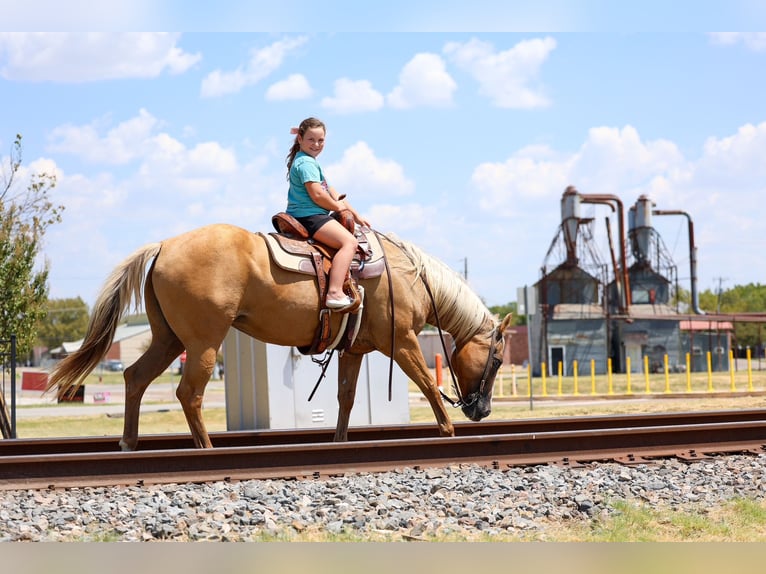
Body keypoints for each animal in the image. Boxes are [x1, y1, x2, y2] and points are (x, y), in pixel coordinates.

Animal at [47, 223, 512, 450]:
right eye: (497, 359)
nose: (483, 411)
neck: (406, 275)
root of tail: (162, 245)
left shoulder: (354, 351)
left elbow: (345, 400)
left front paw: (340, 443)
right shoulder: (402, 343)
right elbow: (429, 387)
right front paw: (448, 433)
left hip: (168, 340)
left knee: (135, 378)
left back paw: (128, 443)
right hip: (202, 343)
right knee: (188, 394)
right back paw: (206, 450)